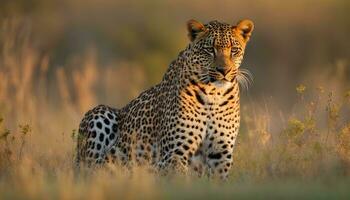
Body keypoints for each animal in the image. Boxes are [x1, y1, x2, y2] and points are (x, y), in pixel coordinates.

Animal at [75, 19, 253, 180]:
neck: (214, 95)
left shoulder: (220, 154)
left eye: (234, 50)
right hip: (100, 115)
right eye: (210, 50)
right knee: (95, 169)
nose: (224, 70)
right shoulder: (174, 153)